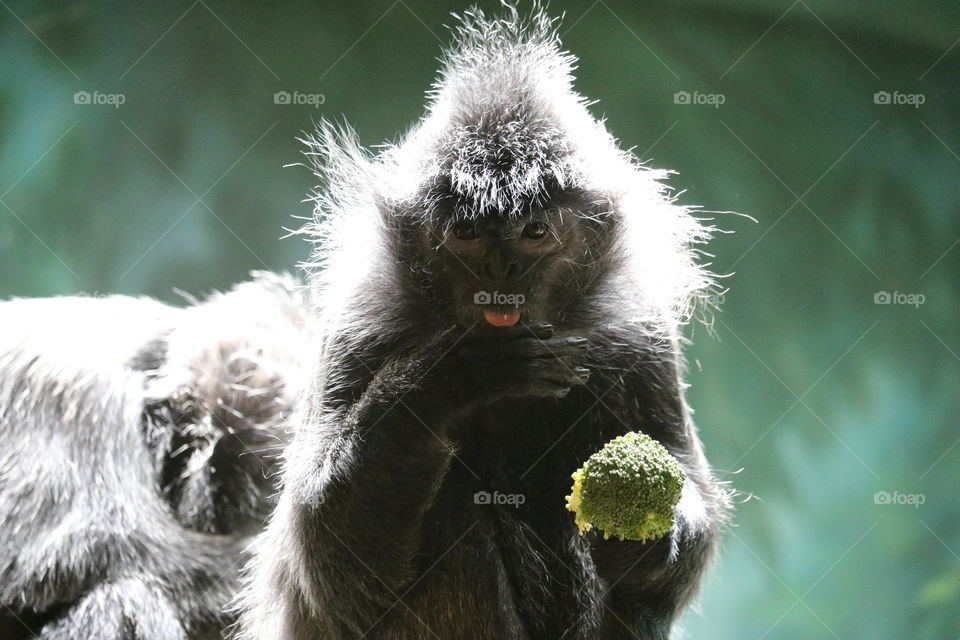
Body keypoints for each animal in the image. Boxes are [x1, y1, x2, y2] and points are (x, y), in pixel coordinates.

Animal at [234, 5, 728, 640]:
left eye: (534, 232)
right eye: (468, 232)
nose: (502, 269)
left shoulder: (636, 335)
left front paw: (639, 535)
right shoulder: (363, 323)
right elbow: (327, 562)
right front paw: (454, 376)